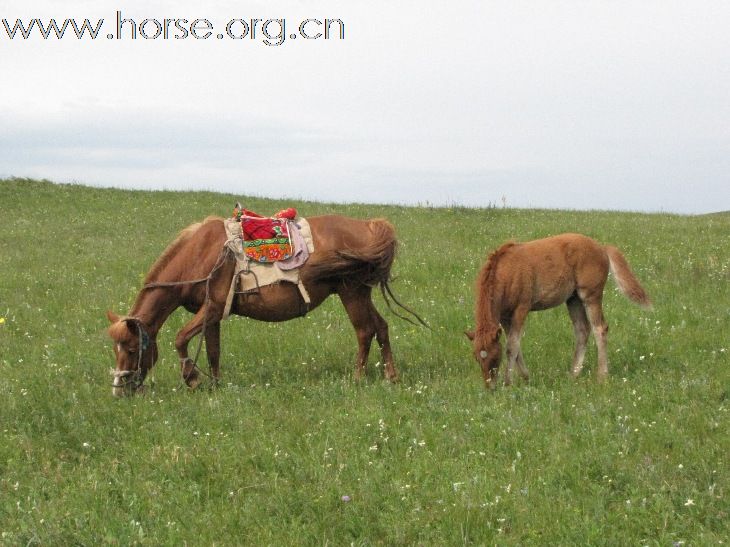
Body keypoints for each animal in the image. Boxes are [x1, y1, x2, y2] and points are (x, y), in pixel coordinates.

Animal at [105, 215, 418, 398]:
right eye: (115, 349)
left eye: (131, 349)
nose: (119, 390)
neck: (197, 254)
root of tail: (369, 226)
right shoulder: (213, 316)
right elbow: (213, 351)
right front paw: (215, 386)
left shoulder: (212, 307)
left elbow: (180, 339)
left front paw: (192, 379)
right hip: (361, 293)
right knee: (381, 327)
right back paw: (391, 377)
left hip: (351, 292)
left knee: (365, 331)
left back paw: (356, 379)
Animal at [464, 233, 652, 388]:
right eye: (476, 358)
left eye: (495, 357)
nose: (490, 388)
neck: (506, 272)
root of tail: (602, 248)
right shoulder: (504, 317)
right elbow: (516, 346)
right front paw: (526, 377)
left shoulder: (521, 308)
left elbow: (512, 346)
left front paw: (508, 382)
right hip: (573, 299)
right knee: (582, 330)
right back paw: (573, 374)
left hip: (590, 295)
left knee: (600, 328)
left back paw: (601, 376)